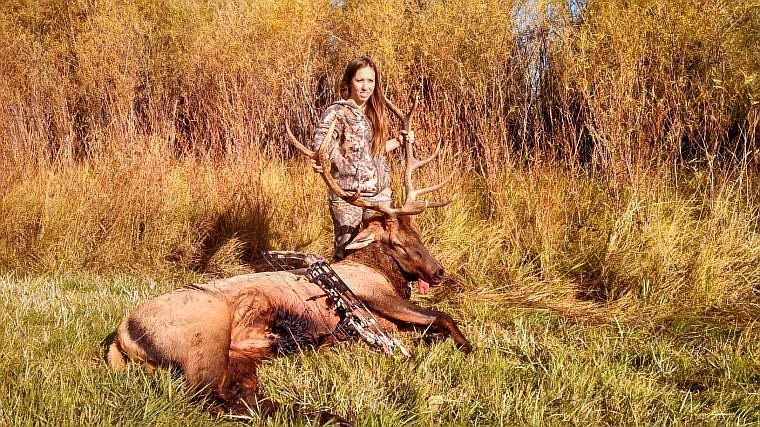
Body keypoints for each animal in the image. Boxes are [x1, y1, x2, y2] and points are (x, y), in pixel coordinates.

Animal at [106, 98, 470, 422]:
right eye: (397, 243)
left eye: (418, 234)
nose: (438, 272)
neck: (376, 269)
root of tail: (122, 334)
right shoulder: (375, 295)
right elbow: (443, 316)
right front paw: (469, 348)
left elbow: (430, 328)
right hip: (204, 336)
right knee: (208, 397)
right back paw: (329, 413)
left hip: (241, 351)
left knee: (244, 396)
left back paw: (325, 413)